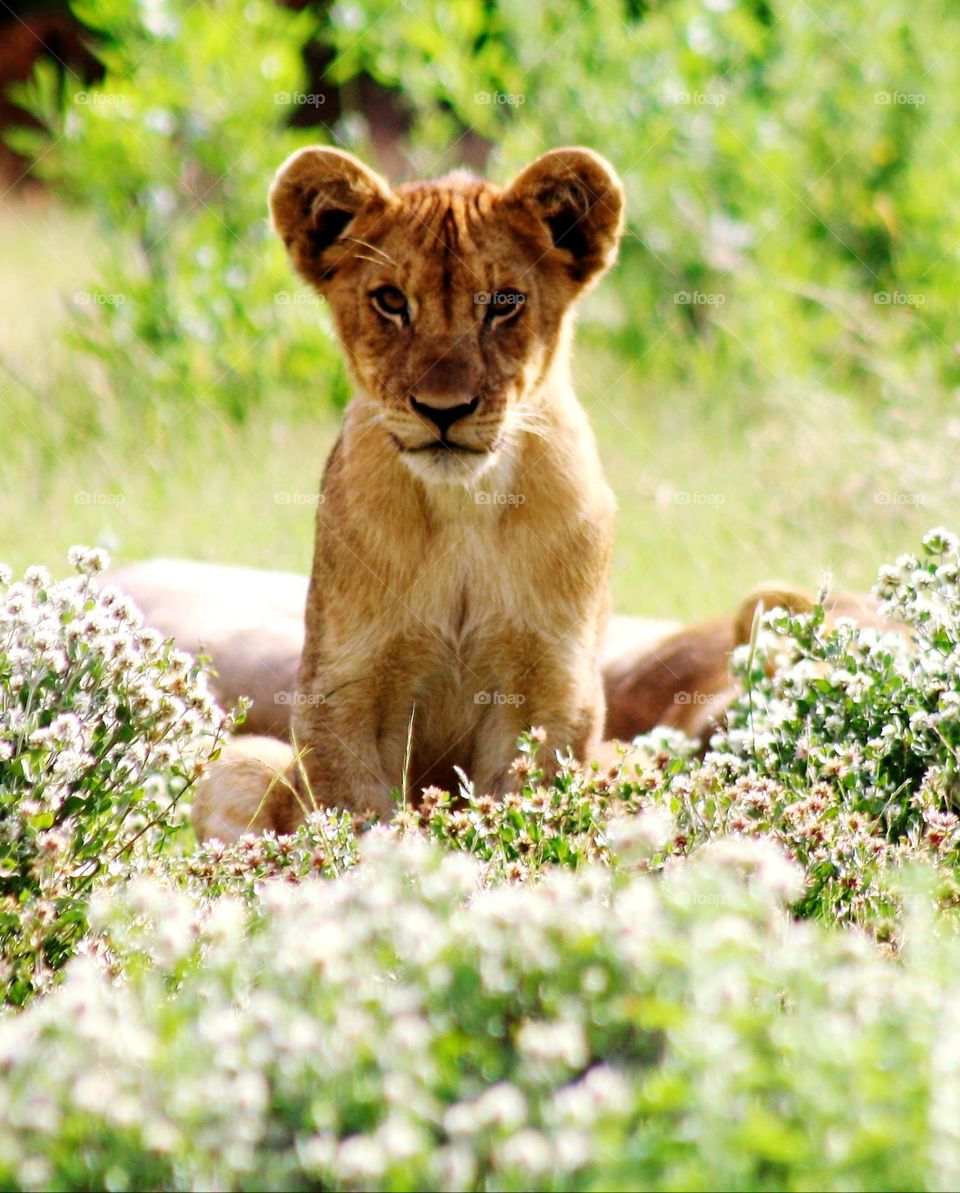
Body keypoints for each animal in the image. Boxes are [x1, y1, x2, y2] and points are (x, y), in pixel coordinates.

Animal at [190, 145, 625, 840]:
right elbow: (356, 811)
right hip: (244, 757)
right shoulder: (348, 687)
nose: (443, 410)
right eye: (391, 301)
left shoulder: (552, 693)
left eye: (504, 301)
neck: (464, 505)